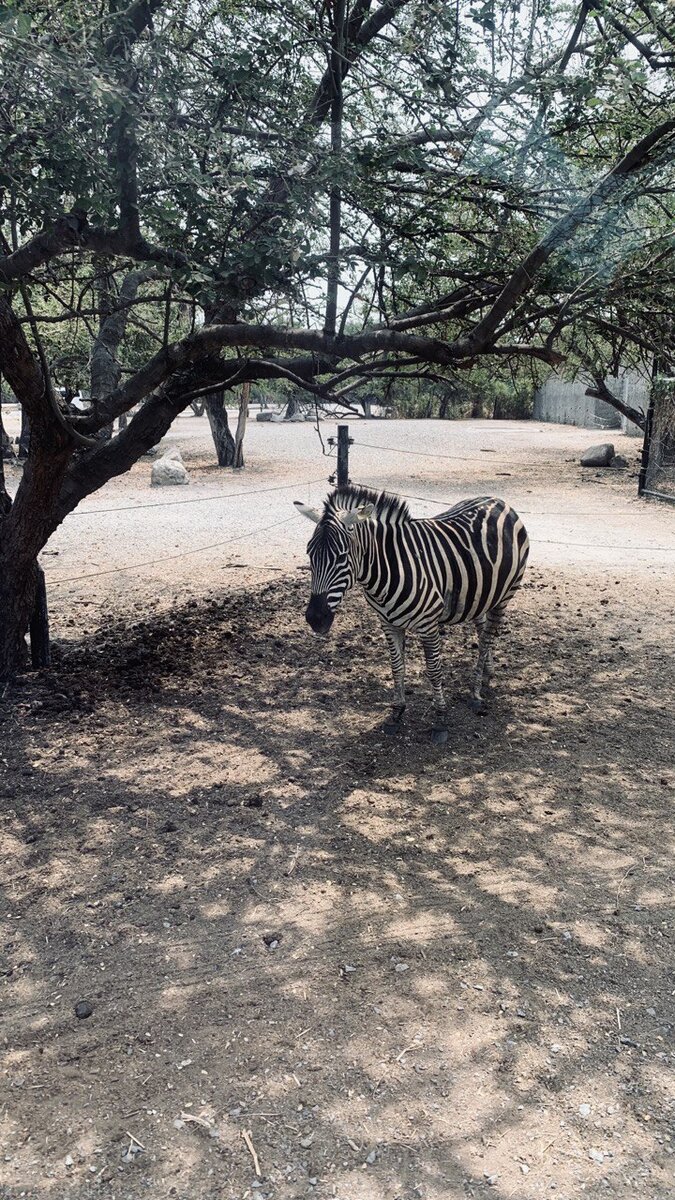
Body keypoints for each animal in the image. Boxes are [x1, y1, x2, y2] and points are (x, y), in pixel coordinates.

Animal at [291, 484, 528, 739]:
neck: (386, 570)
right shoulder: (388, 623)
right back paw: (486, 673)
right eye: (309, 553)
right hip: (480, 593)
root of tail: (499, 501)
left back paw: (476, 692)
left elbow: (434, 670)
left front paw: (440, 719)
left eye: (342, 557)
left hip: (506, 594)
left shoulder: (428, 624)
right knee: (483, 629)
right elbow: (397, 667)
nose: (315, 618)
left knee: (487, 638)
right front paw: (397, 712)